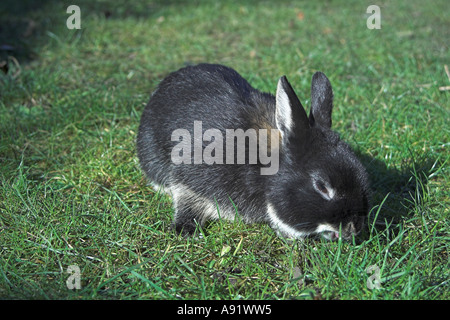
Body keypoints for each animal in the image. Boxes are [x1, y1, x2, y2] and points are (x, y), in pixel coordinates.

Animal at [136, 63, 370, 240]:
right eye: (321, 187)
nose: (354, 228)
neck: (263, 167)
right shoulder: (191, 179)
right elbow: (187, 200)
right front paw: (186, 231)